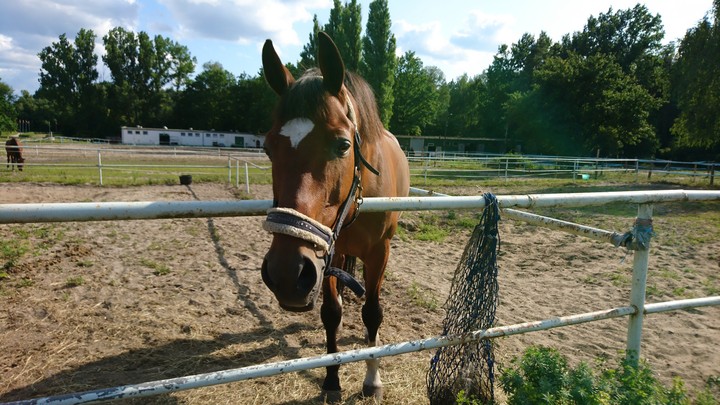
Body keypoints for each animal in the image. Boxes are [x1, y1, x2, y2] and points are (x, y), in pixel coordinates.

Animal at [260, 32, 410, 401]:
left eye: (343, 144)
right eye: (268, 148)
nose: (287, 274)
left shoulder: (379, 252)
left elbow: (372, 314)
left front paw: (372, 380)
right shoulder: (324, 254)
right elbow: (330, 313)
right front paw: (331, 379)